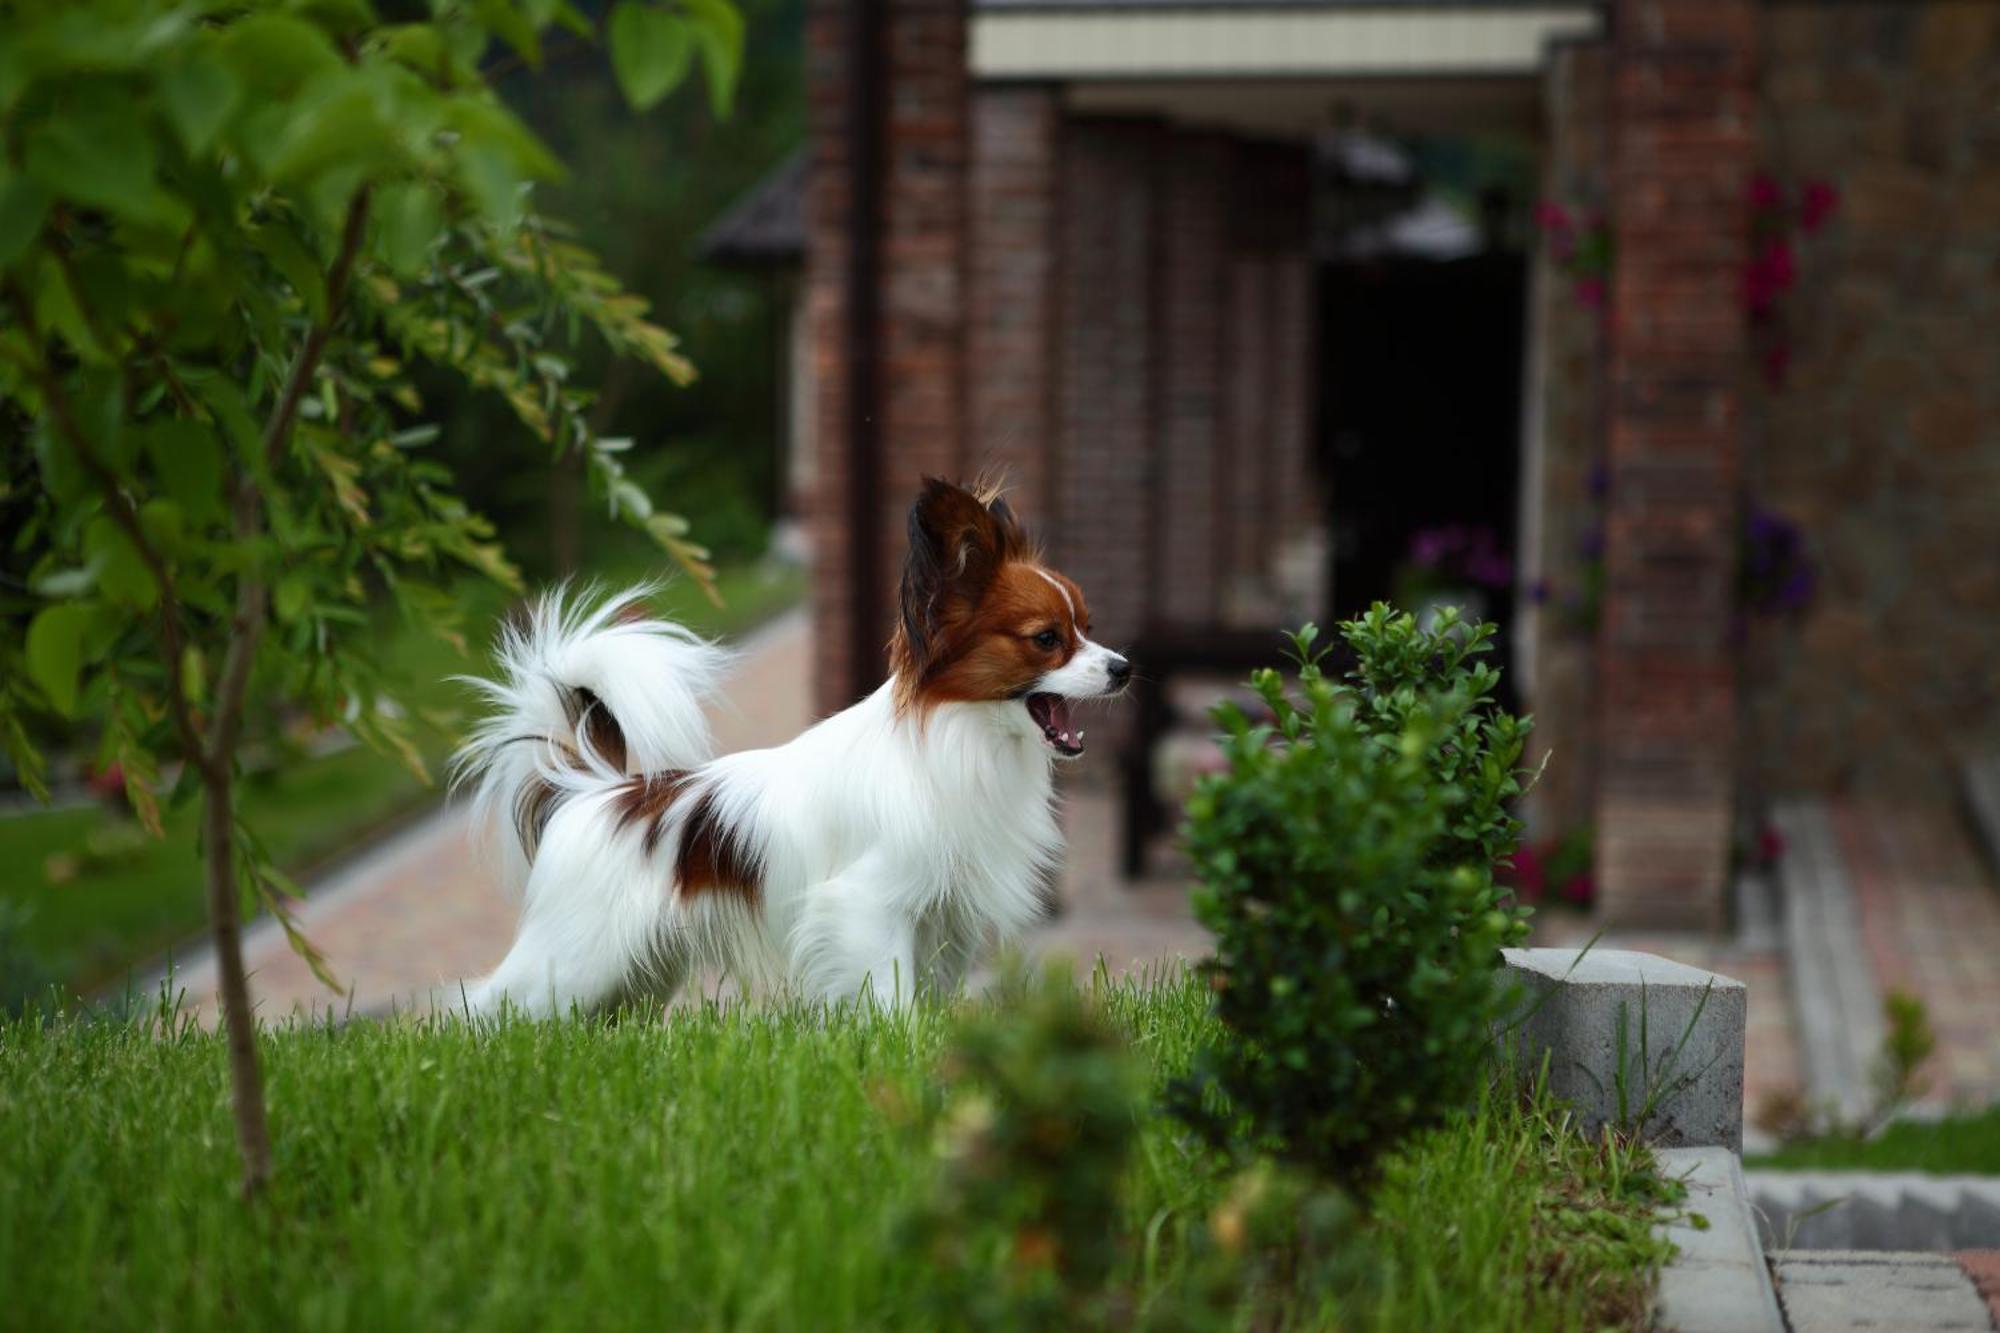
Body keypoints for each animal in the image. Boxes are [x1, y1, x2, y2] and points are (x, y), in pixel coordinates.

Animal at [458, 472, 1136, 1012]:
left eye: (1088, 628)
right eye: (1047, 639)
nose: (1125, 668)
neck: (961, 737)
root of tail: (595, 792)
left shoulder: (943, 917)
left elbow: (929, 997)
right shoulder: (867, 906)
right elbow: (891, 1001)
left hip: (634, 976)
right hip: (573, 962)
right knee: (482, 1006)